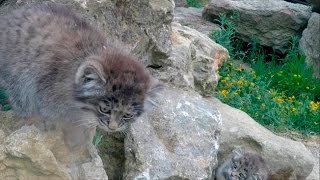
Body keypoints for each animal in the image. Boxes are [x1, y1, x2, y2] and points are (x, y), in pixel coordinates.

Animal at [0, 2, 160, 149]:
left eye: (128, 115)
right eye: (104, 109)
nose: (112, 128)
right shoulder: (50, 100)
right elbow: (65, 120)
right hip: (17, 75)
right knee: (21, 99)